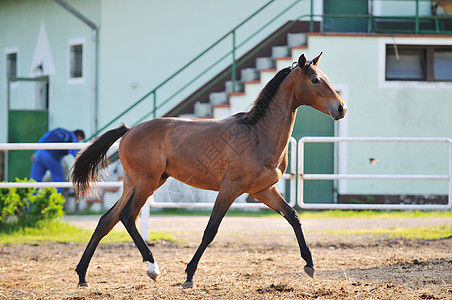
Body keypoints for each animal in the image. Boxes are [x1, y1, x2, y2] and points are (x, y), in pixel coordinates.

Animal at [71, 53, 346, 288]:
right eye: (314, 80)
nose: (341, 108)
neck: (258, 134)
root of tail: (128, 130)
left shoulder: (263, 190)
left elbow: (293, 217)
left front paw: (310, 265)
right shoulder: (230, 189)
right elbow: (210, 230)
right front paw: (189, 274)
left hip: (137, 183)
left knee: (107, 220)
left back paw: (82, 276)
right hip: (146, 183)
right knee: (127, 216)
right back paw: (152, 268)